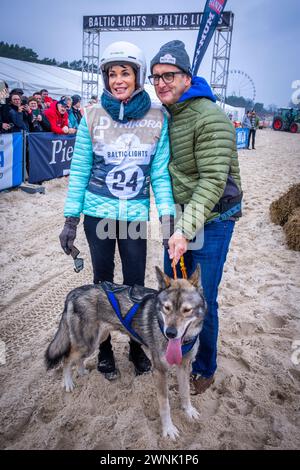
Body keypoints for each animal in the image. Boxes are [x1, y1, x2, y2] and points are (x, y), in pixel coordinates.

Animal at [45, 266, 207, 438]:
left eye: (187, 310)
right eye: (166, 308)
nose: (170, 333)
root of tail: (73, 293)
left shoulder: (184, 366)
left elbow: (185, 391)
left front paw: (188, 411)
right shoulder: (160, 371)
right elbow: (165, 405)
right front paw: (168, 429)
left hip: (96, 340)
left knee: (78, 358)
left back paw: (82, 373)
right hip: (87, 343)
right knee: (67, 358)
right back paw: (68, 382)